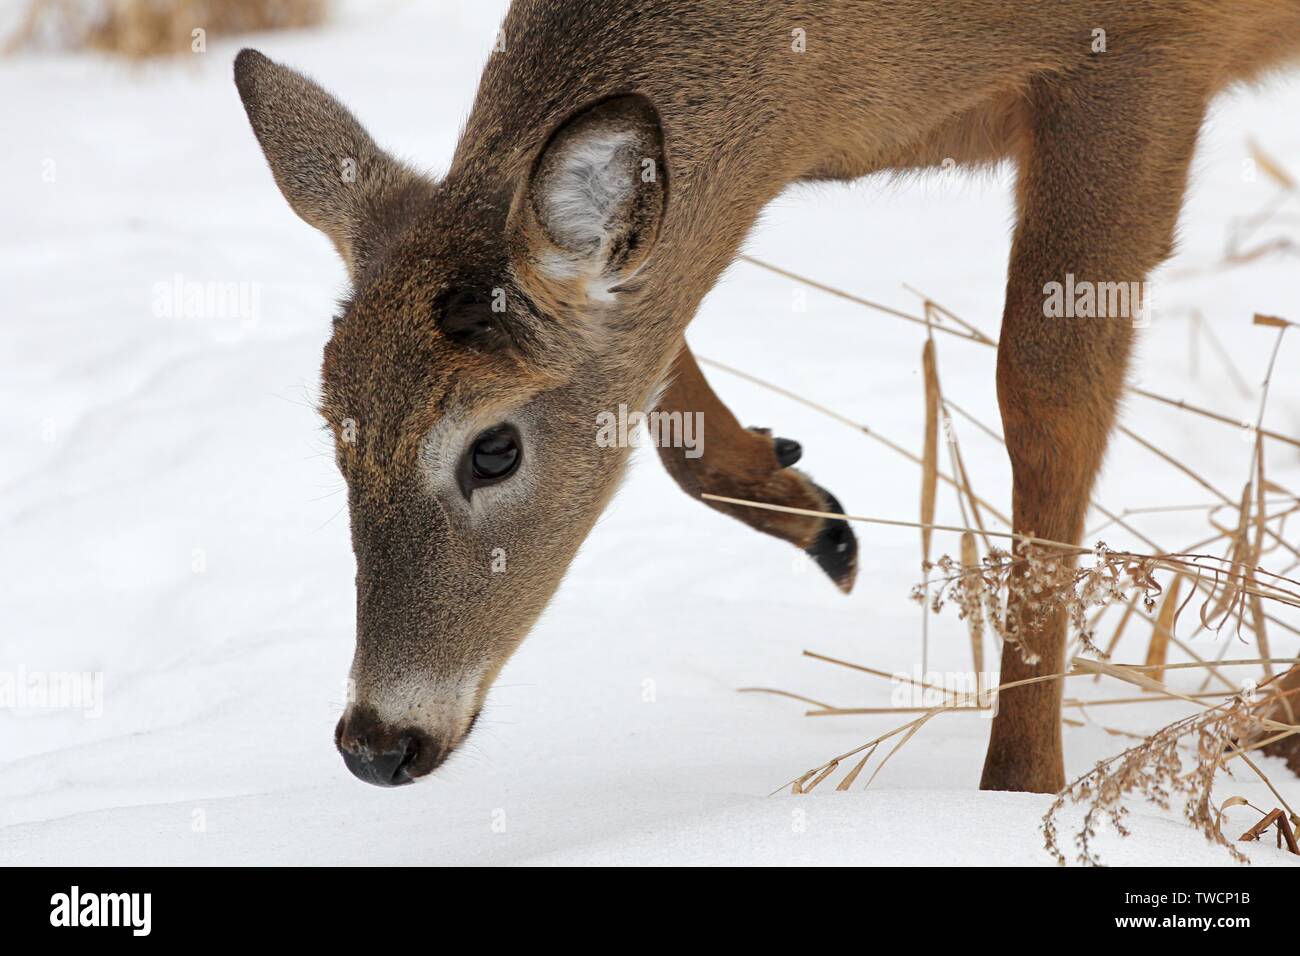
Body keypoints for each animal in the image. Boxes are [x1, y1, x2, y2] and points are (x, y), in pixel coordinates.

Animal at [239, 0, 1300, 790]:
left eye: (492, 447)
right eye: (336, 433)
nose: (376, 743)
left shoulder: (1143, 57)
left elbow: (1046, 401)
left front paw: (1019, 785)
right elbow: (657, 351)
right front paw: (813, 513)